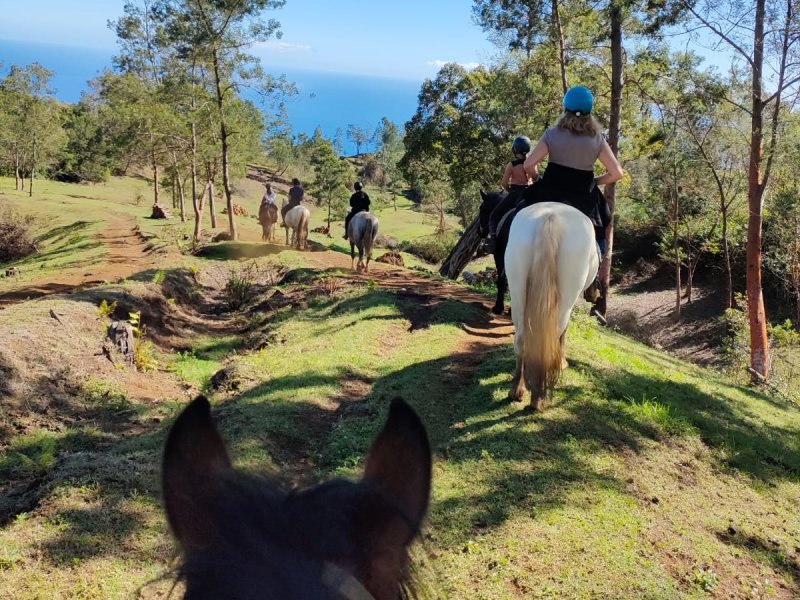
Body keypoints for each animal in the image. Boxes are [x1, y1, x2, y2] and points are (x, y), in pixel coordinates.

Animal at [505, 202, 599, 411]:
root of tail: (550, 216)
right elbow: (564, 333)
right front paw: (562, 362)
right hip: (565, 302)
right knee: (553, 337)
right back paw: (538, 398)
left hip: (517, 291)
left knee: (521, 339)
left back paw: (517, 390)